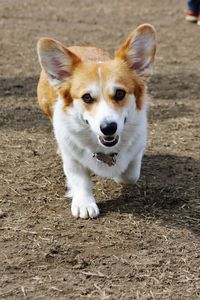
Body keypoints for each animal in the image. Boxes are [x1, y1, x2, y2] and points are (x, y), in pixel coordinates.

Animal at [37, 24, 156, 218]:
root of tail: (79, 46)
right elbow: (80, 180)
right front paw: (84, 204)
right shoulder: (71, 156)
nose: (108, 128)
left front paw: (117, 174)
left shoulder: (137, 146)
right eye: (87, 97)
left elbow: (130, 175)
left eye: (120, 93)